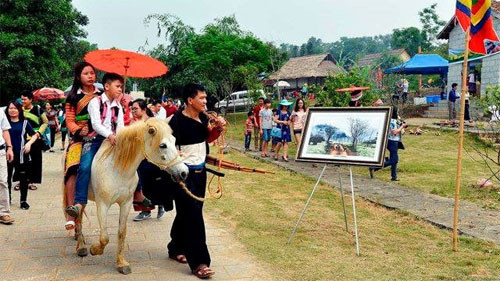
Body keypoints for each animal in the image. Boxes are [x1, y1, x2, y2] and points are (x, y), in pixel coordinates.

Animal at [71, 117, 187, 274]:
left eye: (174, 141)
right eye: (163, 145)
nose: (184, 172)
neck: (118, 168)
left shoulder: (126, 203)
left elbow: (121, 233)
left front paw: (121, 263)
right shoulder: (102, 204)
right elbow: (105, 237)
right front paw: (95, 250)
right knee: (78, 215)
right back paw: (82, 246)